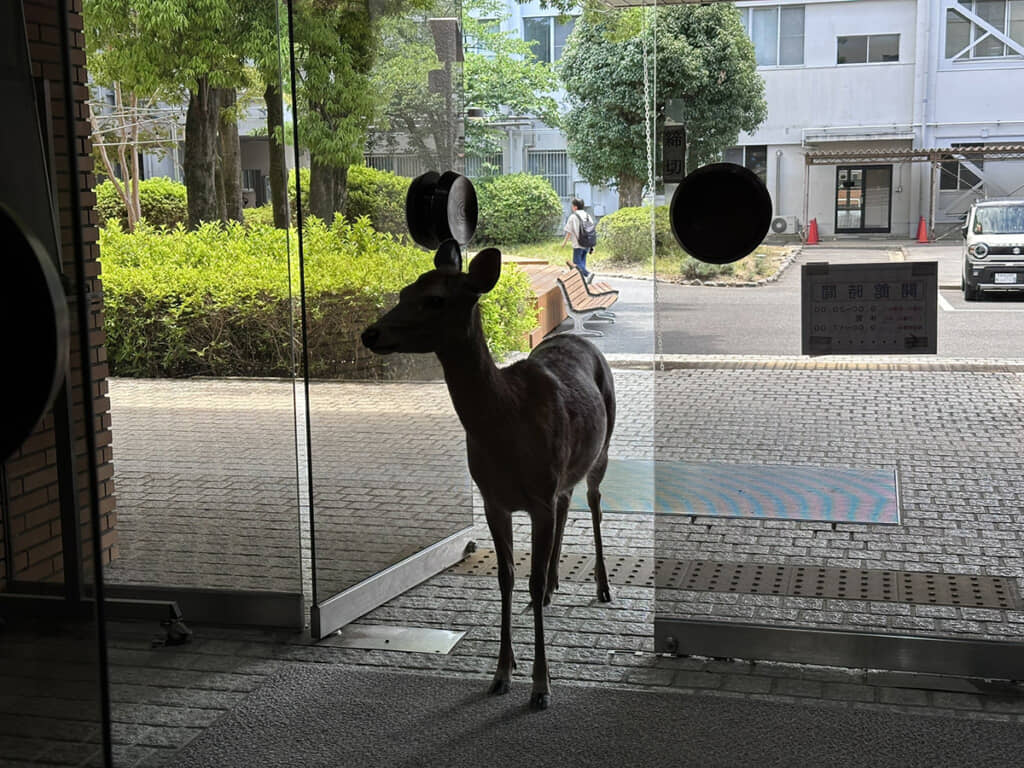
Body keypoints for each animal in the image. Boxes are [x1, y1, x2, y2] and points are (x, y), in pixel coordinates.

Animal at [361, 245, 615, 710]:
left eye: (436, 299)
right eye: (404, 290)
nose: (371, 333)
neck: (505, 425)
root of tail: (580, 337)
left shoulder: (537, 498)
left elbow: (529, 579)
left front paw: (541, 685)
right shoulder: (493, 499)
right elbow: (506, 578)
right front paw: (501, 671)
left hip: (602, 446)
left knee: (594, 504)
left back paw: (603, 586)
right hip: (564, 473)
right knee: (567, 503)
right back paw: (554, 587)